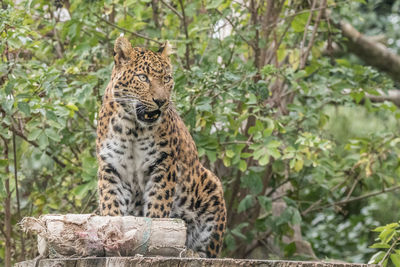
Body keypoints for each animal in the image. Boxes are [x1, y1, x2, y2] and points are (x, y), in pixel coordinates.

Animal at [95, 36, 227, 258]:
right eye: (143, 77)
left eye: (167, 78)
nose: (161, 101)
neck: (132, 128)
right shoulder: (110, 166)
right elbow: (111, 201)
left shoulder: (164, 163)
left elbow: (158, 202)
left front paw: (158, 236)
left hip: (212, 187)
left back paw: (191, 253)